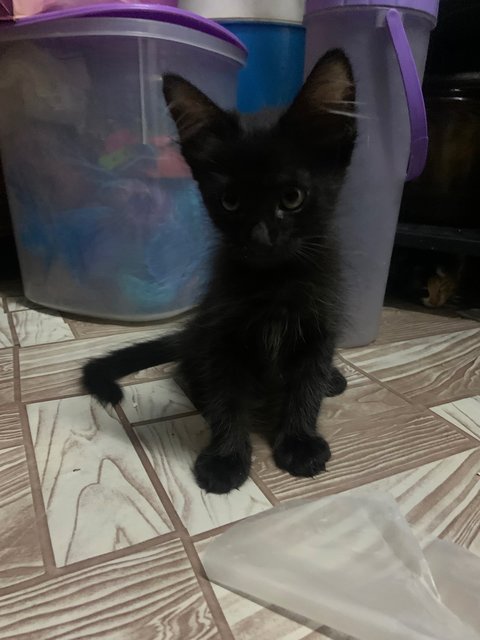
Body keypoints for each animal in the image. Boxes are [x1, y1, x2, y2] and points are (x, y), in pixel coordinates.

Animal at [82, 51, 356, 496]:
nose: (260, 237)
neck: (273, 284)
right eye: (230, 201)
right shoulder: (222, 335)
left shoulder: (321, 322)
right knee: (192, 371)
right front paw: (226, 459)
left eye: (292, 197)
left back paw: (332, 379)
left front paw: (299, 441)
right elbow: (227, 395)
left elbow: (306, 383)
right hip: (202, 337)